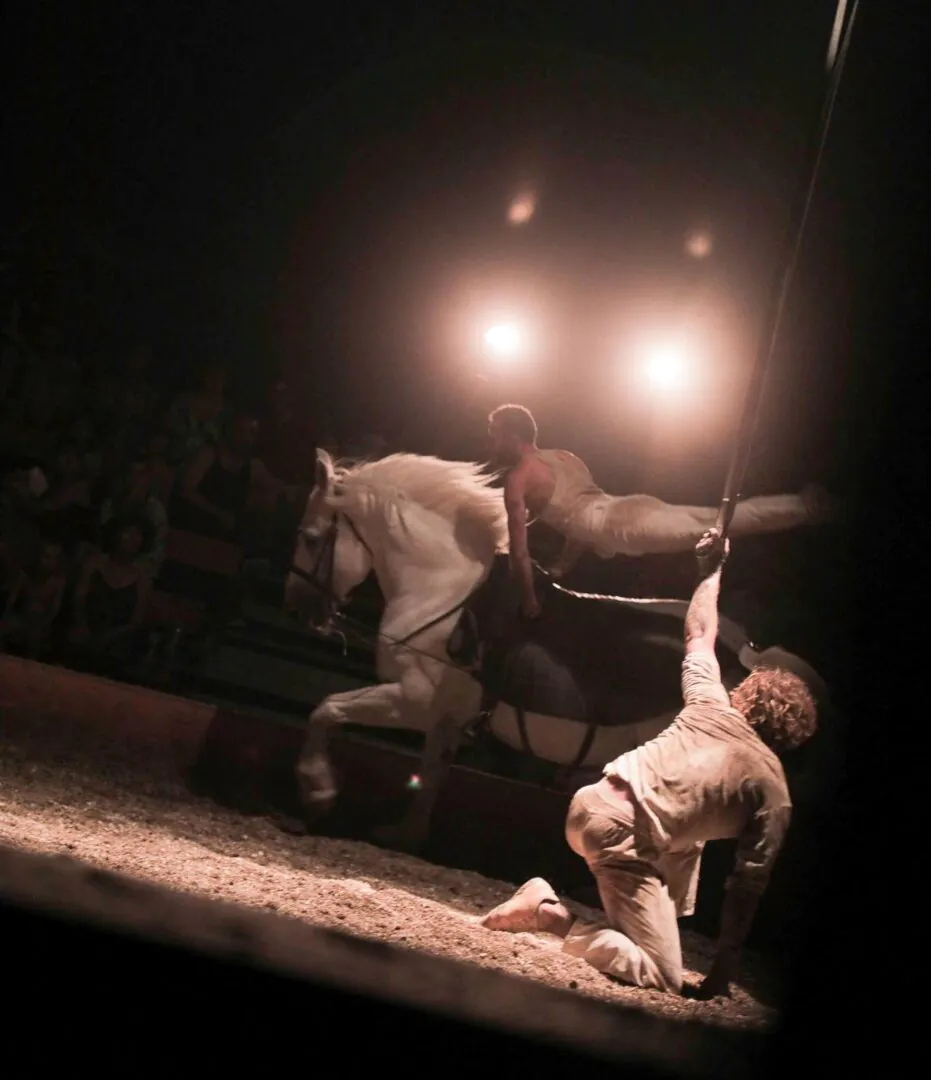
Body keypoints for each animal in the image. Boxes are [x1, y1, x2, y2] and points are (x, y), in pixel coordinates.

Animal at [285, 449, 825, 851]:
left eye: (310, 537)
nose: (300, 607)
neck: (445, 590)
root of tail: (752, 659)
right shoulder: (445, 717)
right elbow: (432, 773)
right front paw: (406, 834)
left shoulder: (412, 700)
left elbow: (325, 710)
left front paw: (318, 790)